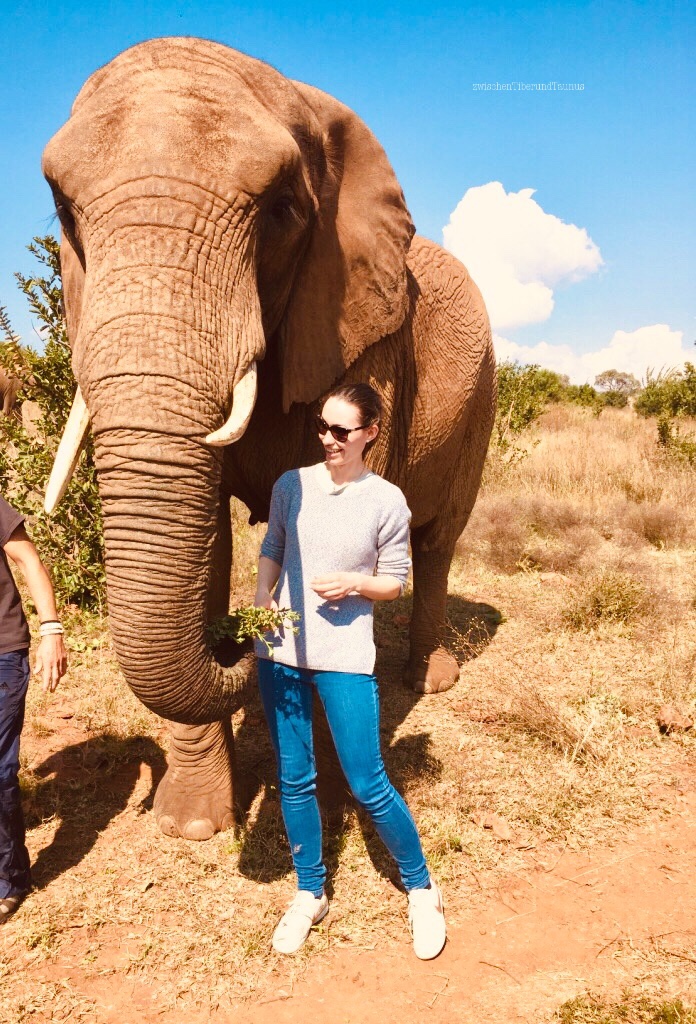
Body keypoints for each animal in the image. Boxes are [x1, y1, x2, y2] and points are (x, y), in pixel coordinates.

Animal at [41, 37, 496, 841]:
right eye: (64, 212)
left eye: (282, 212)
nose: (237, 635)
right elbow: (208, 542)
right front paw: (191, 826)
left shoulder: (365, 336)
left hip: (485, 398)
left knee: (439, 537)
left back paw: (430, 679)